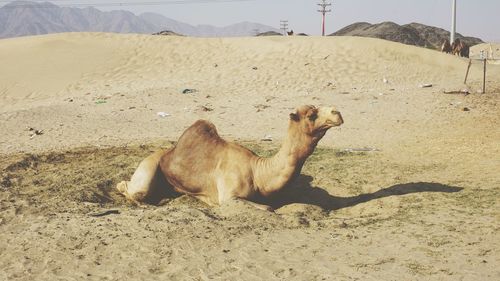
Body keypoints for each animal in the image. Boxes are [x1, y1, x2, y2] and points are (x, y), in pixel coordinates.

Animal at [117, 105, 344, 210]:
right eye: (311, 115)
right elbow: (268, 207)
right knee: (132, 189)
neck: (258, 172)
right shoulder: (230, 196)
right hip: (149, 166)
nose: (337, 112)